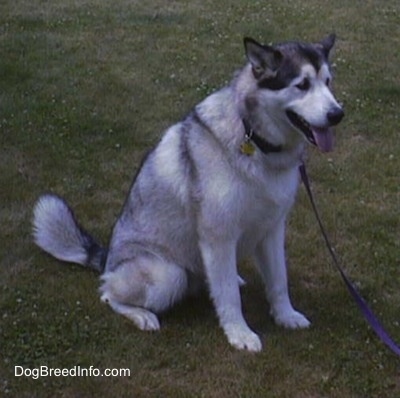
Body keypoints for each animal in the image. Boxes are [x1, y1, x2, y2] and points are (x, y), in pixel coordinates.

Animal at [32, 34, 344, 352]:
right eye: (302, 85)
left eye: (327, 82)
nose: (337, 114)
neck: (256, 143)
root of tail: (107, 260)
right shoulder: (218, 236)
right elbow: (229, 297)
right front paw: (239, 333)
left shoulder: (272, 229)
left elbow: (279, 281)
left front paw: (285, 316)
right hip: (168, 276)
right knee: (108, 293)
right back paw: (142, 315)